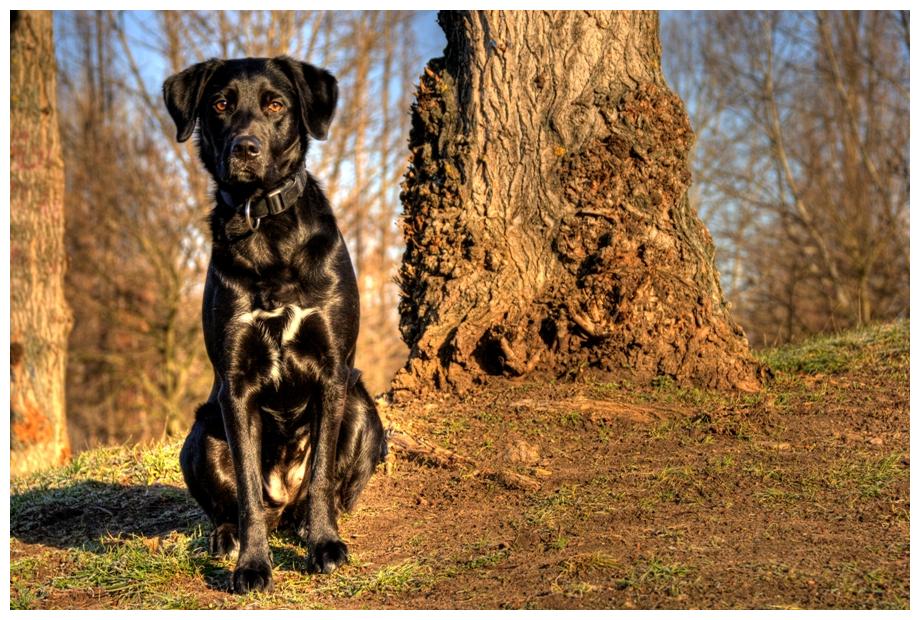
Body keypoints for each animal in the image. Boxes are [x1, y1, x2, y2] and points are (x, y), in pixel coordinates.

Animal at [162, 59, 384, 596]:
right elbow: (245, 490)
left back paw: (305, 522)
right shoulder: (236, 387)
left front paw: (324, 545)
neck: (264, 225)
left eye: (276, 104)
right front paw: (252, 565)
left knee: (328, 490)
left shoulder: (332, 372)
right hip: (201, 433)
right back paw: (228, 539)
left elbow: (322, 473)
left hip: (362, 409)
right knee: (238, 507)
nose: (245, 148)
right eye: (220, 103)